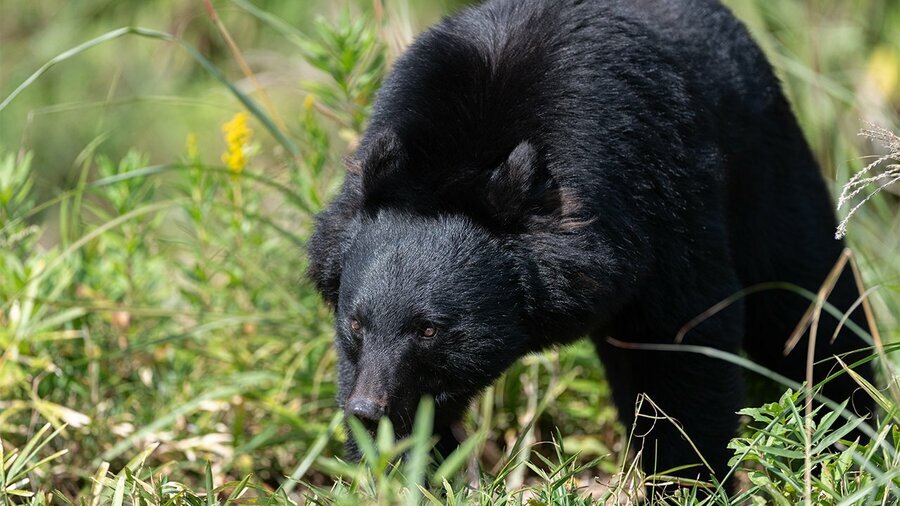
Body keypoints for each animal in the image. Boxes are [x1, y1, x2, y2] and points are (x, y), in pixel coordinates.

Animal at [307, 0, 875, 486]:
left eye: (429, 330)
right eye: (355, 323)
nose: (368, 410)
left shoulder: (659, 202)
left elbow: (681, 340)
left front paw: (684, 477)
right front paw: (400, 471)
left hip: (764, 163)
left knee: (805, 300)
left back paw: (849, 430)